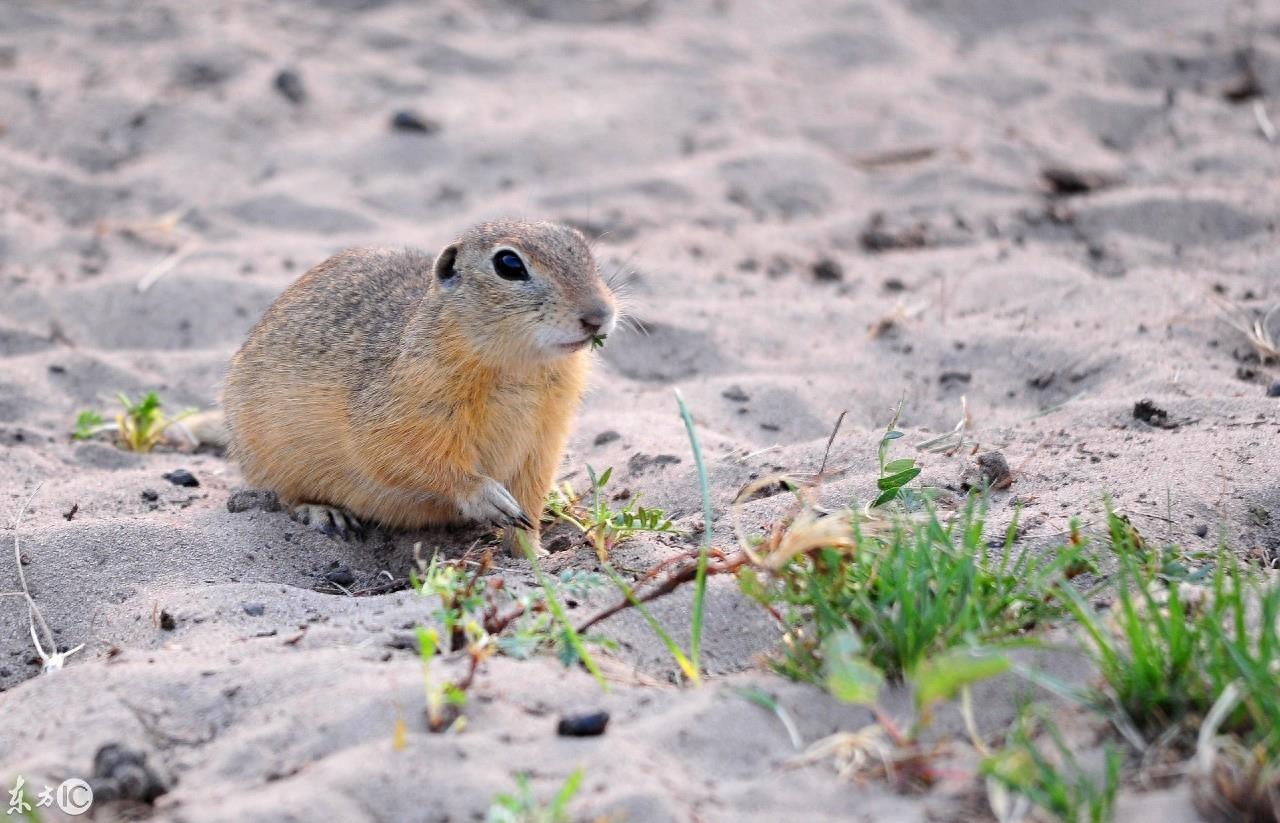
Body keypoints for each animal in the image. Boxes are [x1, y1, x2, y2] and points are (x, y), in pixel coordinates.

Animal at [222, 220, 616, 552]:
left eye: (582, 246)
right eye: (508, 264)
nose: (598, 315)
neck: (522, 367)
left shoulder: (544, 439)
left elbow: (531, 501)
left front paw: (533, 556)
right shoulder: (407, 413)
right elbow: (406, 459)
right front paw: (486, 496)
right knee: (285, 496)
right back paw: (324, 513)